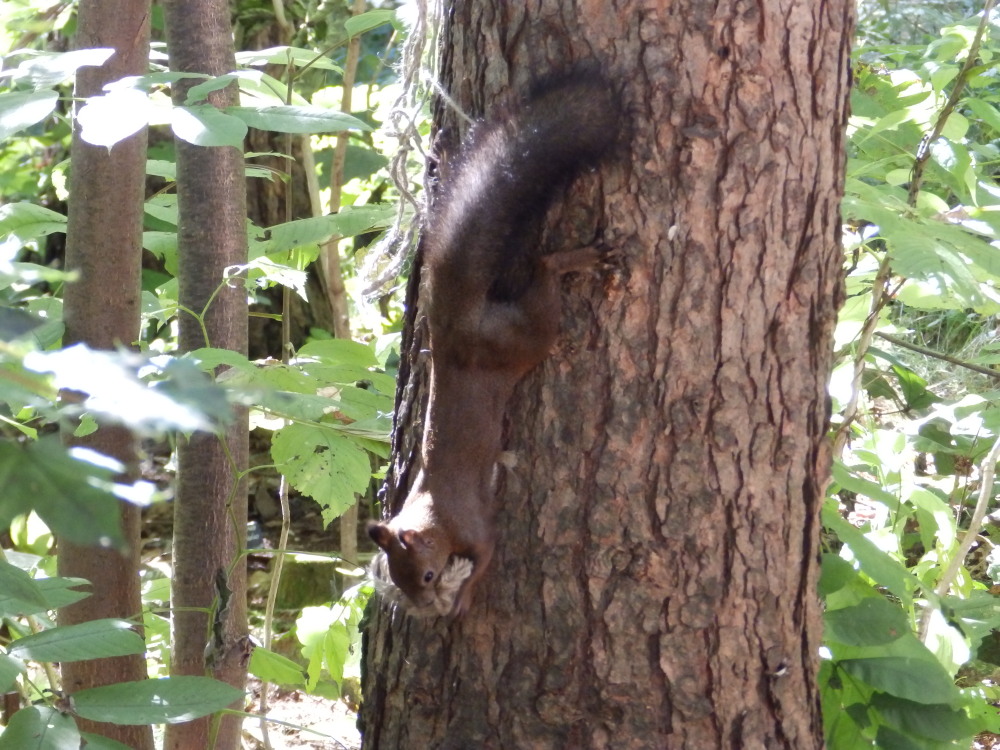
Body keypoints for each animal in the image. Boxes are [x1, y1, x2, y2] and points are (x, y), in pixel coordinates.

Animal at [364, 72, 620, 616]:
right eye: (398, 580)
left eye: (428, 574)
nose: (429, 608)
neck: (430, 515)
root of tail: (453, 330)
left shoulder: (474, 528)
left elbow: (485, 555)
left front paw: (463, 598)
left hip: (524, 337)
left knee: (544, 273)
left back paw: (576, 260)